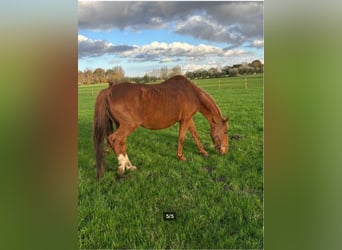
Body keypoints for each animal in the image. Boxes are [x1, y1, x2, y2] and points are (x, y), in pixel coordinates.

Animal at [92, 74, 228, 180]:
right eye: (226, 131)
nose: (225, 151)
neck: (192, 94)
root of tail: (108, 91)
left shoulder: (189, 119)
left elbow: (195, 135)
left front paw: (203, 152)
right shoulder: (185, 120)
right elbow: (181, 138)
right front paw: (180, 156)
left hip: (121, 125)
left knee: (121, 143)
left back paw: (129, 166)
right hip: (129, 125)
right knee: (113, 140)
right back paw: (121, 168)